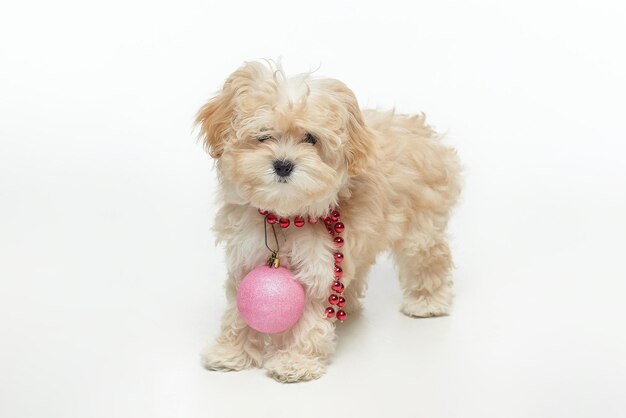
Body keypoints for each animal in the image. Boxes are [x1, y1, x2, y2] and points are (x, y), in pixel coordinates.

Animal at [194, 60, 458, 384]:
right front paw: (232, 353)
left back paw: (427, 302)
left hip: (421, 226)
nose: (283, 165)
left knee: (429, 259)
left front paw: (296, 362)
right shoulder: (246, 258)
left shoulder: (318, 266)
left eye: (311, 138)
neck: (285, 216)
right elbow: (239, 312)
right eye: (264, 134)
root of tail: (420, 128)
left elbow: (308, 318)